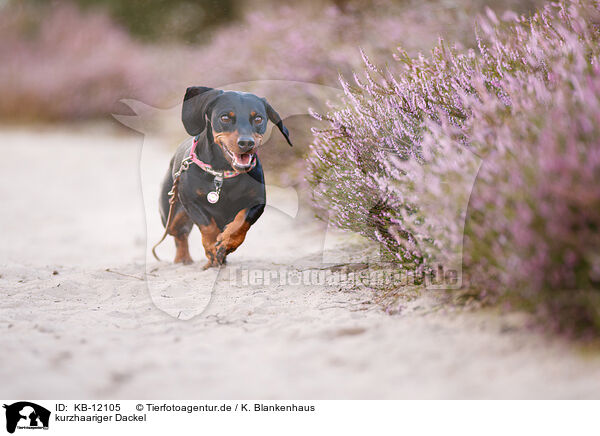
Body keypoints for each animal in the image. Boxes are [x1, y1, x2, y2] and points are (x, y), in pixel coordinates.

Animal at [158, 87, 292, 268]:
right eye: (225, 117)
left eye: (258, 118)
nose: (246, 143)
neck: (223, 174)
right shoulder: (191, 201)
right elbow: (207, 226)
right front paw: (212, 249)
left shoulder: (257, 202)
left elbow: (241, 222)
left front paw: (226, 243)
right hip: (171, 216)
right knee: (180, 234)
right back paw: (184, 259)